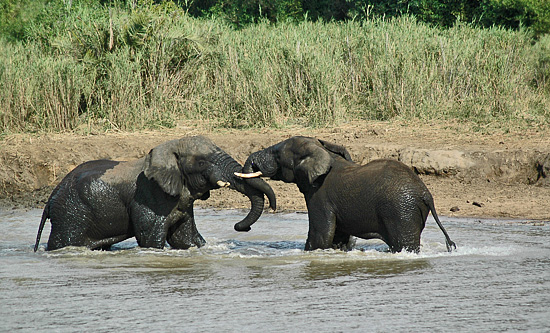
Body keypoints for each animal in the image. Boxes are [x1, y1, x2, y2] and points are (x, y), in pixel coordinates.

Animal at [33, 135, 276, 252]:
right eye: (201, 162)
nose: (240, 227)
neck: (169, 148)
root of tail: (51, 198)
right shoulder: (149, 196)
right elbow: (151, 238)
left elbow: (184, 238)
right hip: (71, 213)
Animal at [236, 135, 458, 252]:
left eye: (277, 154)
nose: (242, 228)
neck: (323, 151)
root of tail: (426, 193)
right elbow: (337, 236)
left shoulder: (320, 196)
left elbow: (320, 236)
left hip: (401, 211)